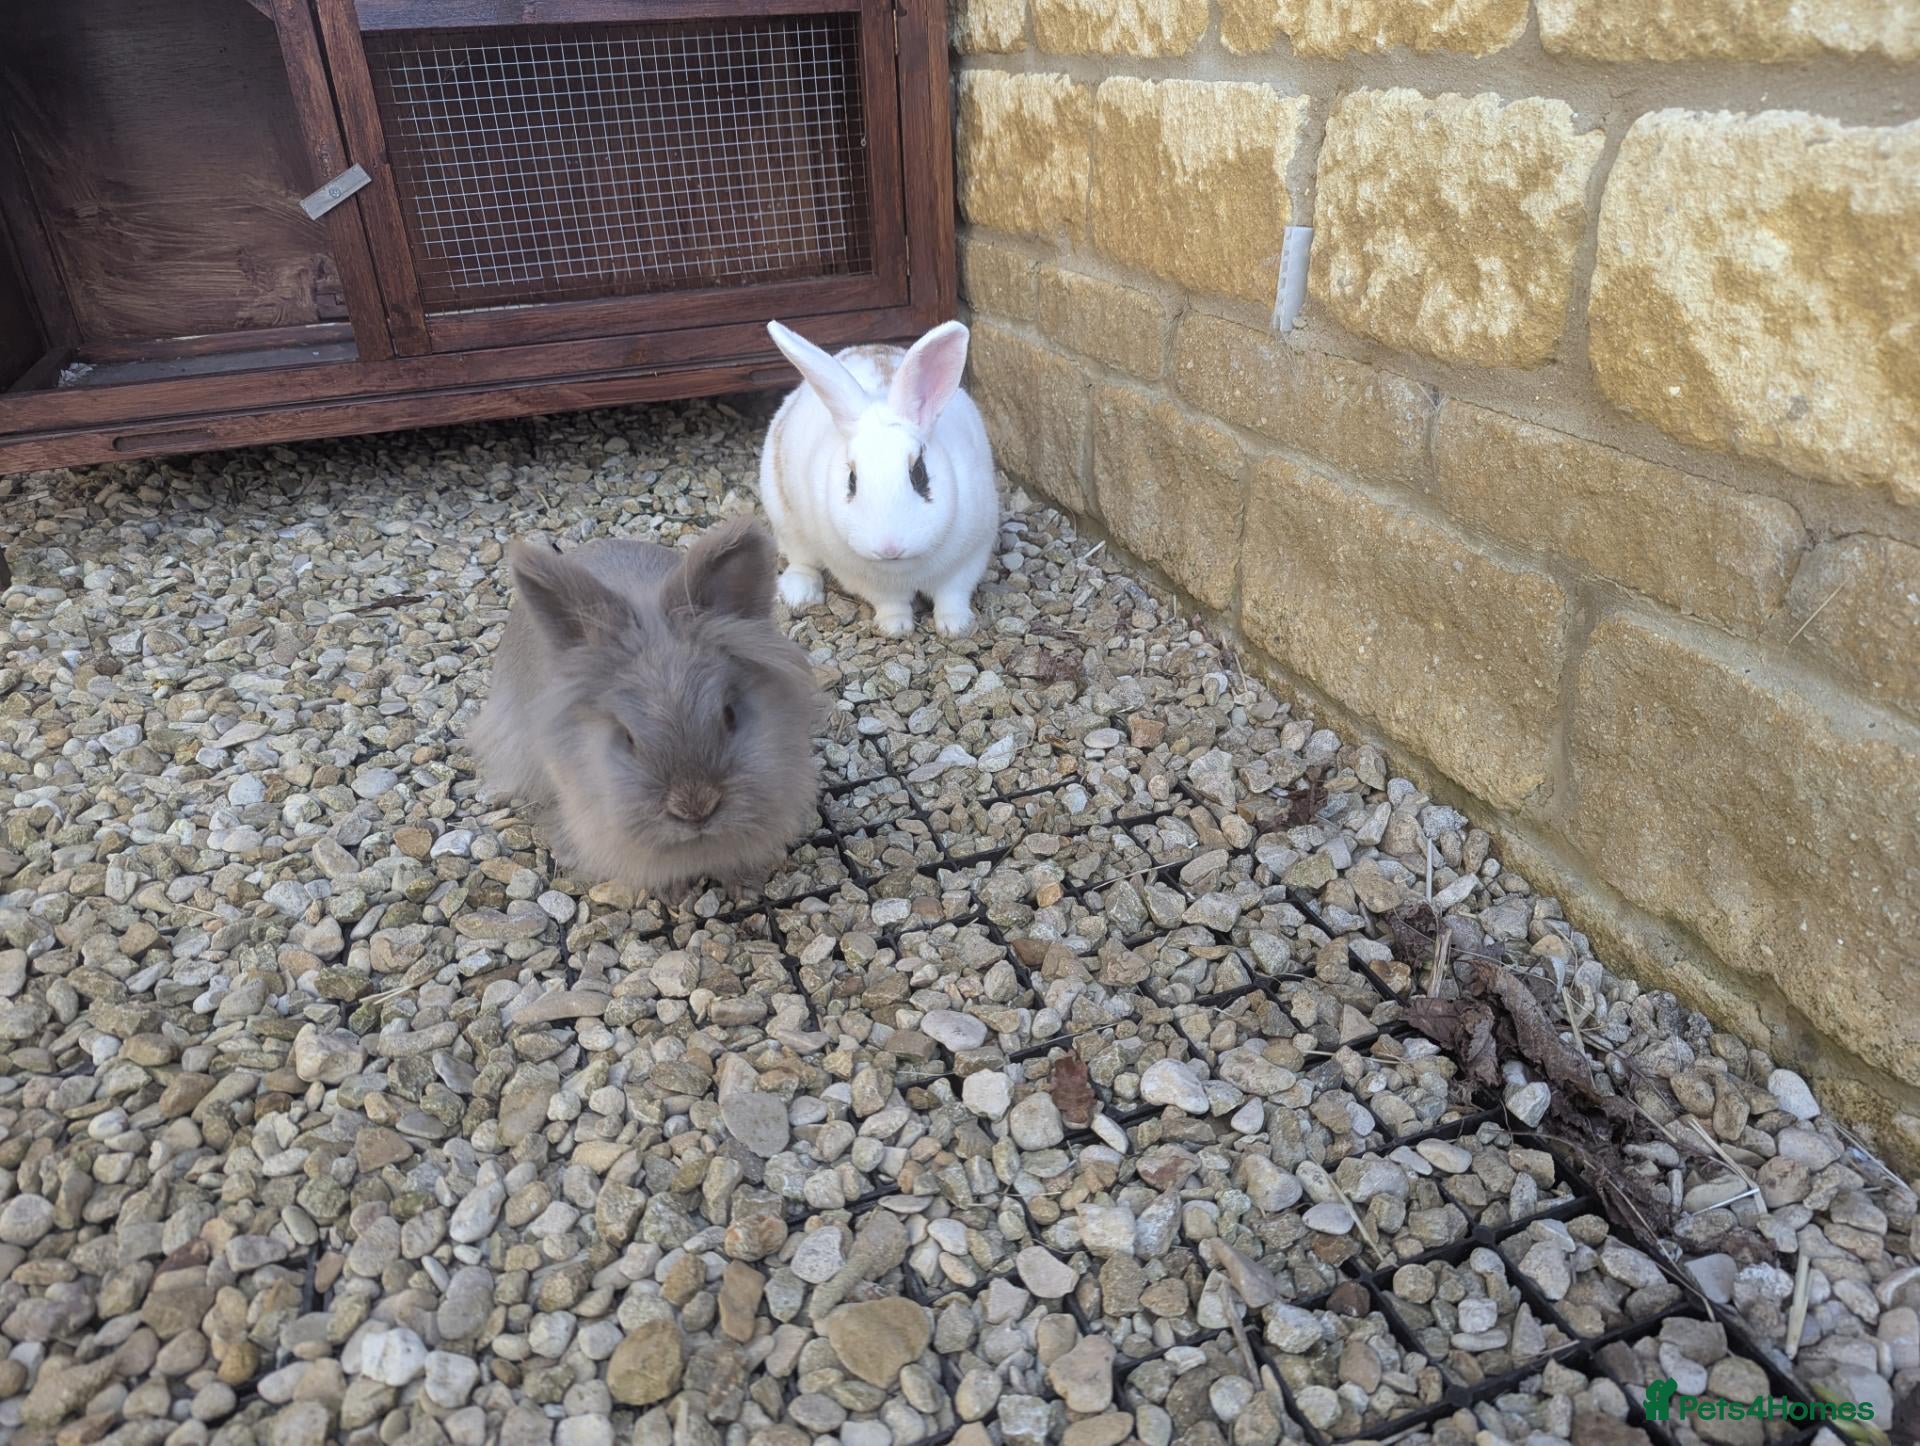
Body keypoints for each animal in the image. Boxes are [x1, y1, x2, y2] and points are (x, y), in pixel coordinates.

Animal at [759, 318, 999, 638]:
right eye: (852, 480)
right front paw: (896, 627)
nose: (889, 548)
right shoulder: (865, 580)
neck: (905, 569)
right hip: (785, 519)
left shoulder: (969, 559)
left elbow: (952, 596)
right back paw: (800, 593)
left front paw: (955, 627)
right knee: (800, 559)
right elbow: (890, 602)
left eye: (919, 474)